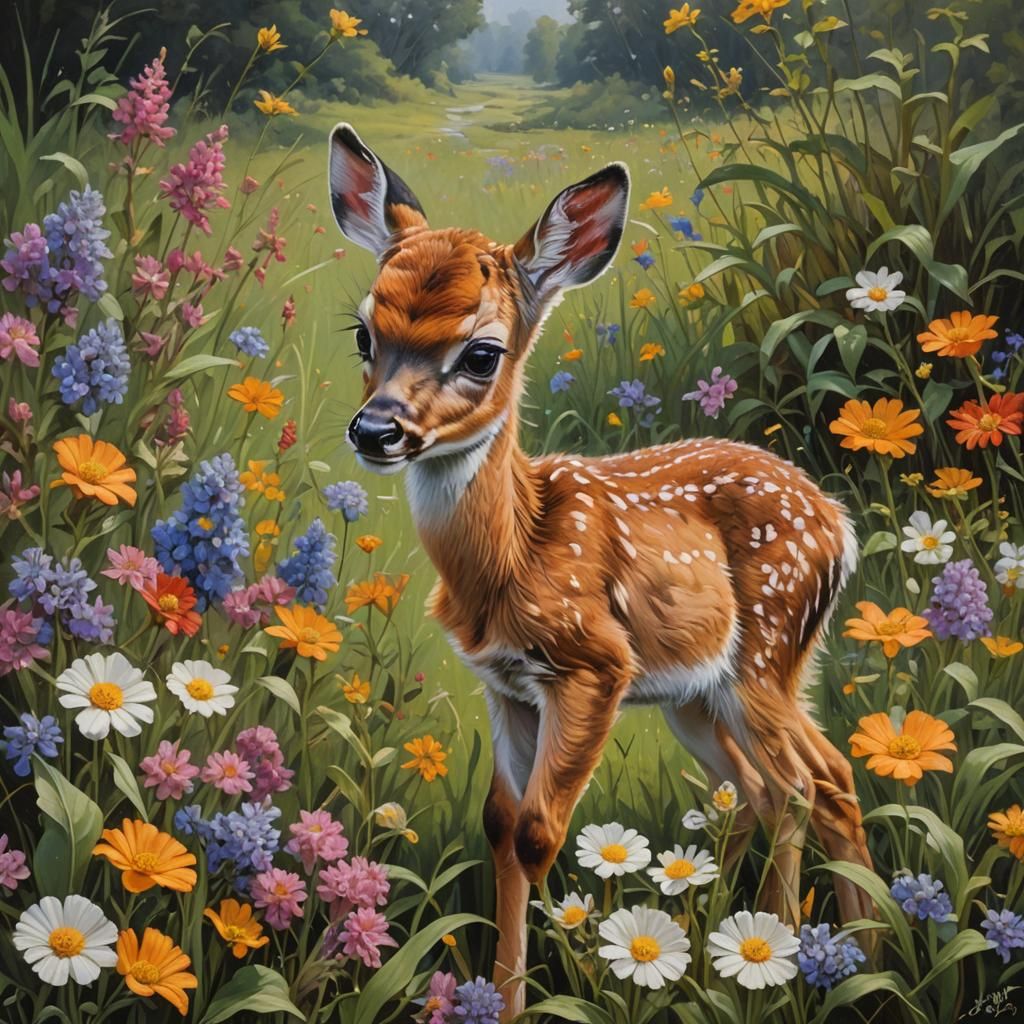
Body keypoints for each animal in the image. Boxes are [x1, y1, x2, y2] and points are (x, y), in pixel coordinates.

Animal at [328, 123, 874, 1018]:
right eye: (364, 335)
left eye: (482, 354)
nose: (377, 430)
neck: (514, 555)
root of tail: (838, 523)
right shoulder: (506, 685)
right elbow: (498, 826)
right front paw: (502, 992)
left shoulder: (594, 666)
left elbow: (538, 833)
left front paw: (539, 992)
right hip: (699, 696)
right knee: (769, 790)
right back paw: (786, 949)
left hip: (766, 654)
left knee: (809, 779)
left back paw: (820, 958)